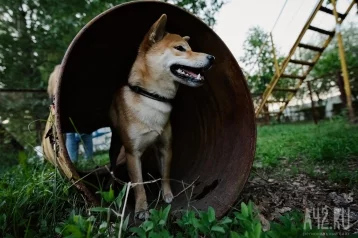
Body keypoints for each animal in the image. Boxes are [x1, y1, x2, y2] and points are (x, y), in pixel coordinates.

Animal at [109, 13, 214, 219]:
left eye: (191, 48)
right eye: (180, 48)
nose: (212, 57)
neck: (153, 97)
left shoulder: (165, 147)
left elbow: (165, 174)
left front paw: (167, 195)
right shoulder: (133, 153)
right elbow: (139, 185)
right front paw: (142, 209)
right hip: (116, 145)